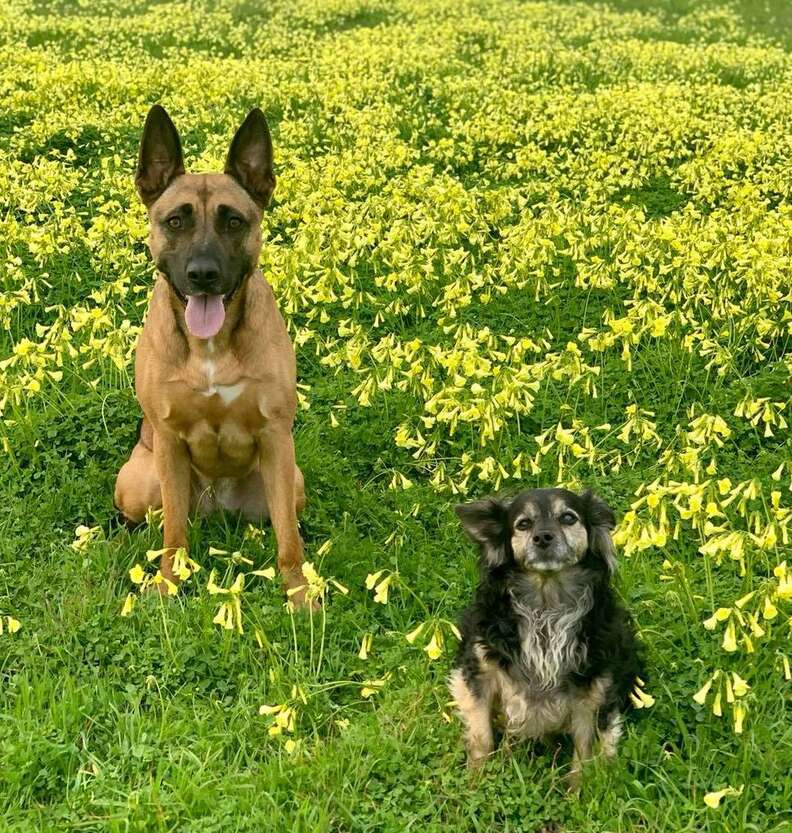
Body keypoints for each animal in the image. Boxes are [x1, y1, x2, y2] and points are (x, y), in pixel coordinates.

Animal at [114, 105, 306, 604]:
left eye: (233, 221)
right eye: (175, 221)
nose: (203, 274)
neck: (211, 346)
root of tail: (216, 507)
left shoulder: (276, 435)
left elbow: (290, 540)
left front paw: (302, 594)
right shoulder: (167, 440)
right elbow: (173, 534)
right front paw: (167, 584)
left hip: (291, 480)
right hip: (139, 481)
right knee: (157, 519)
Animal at [448, 484, 640, 784]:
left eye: (569, 518)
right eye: (523, 524)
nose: (543, 537)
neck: (546, 603)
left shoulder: (594, 693)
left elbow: (584, 754)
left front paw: (578, 792)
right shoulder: (479, 672)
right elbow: (481, 736)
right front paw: (475, 781)